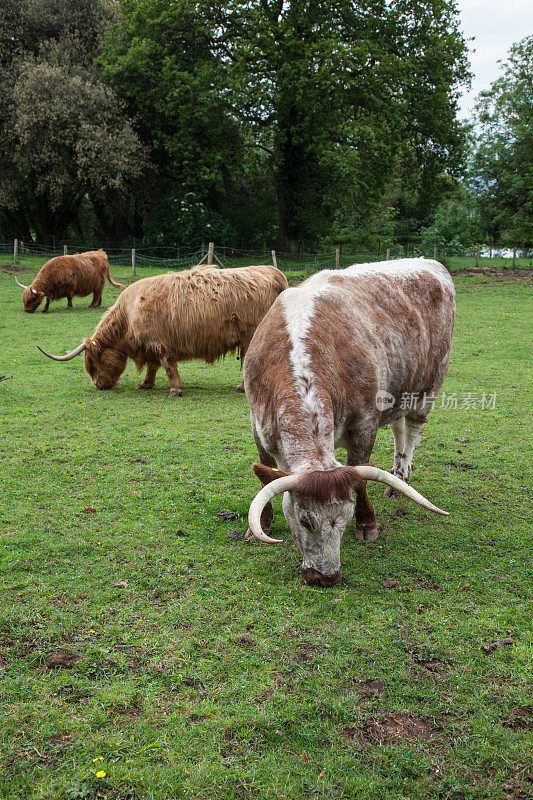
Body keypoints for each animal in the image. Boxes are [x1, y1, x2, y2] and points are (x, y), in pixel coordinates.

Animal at [38, 264, 286, 396]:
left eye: (91, 364)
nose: (99, 386)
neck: (128, 316)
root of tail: (271, 270)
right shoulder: (149, 344)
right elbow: (152, 366)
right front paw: (145, 384)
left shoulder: (159, 342)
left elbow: (167, 365)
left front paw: (175, 389)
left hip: (252, 336)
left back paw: (242, 387)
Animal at [243, 258, 456, 588]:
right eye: (305, 520)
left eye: (345, 519)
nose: (327, 577)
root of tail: (429, 262)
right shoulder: (258, 425)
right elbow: (265, 475)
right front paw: (261, 526)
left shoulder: (365, 423)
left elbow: (360, 477)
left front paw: (367, 523)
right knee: (398, 429)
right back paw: (396, 477)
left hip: (428, 386)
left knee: (412, 430)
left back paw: (403, 476)